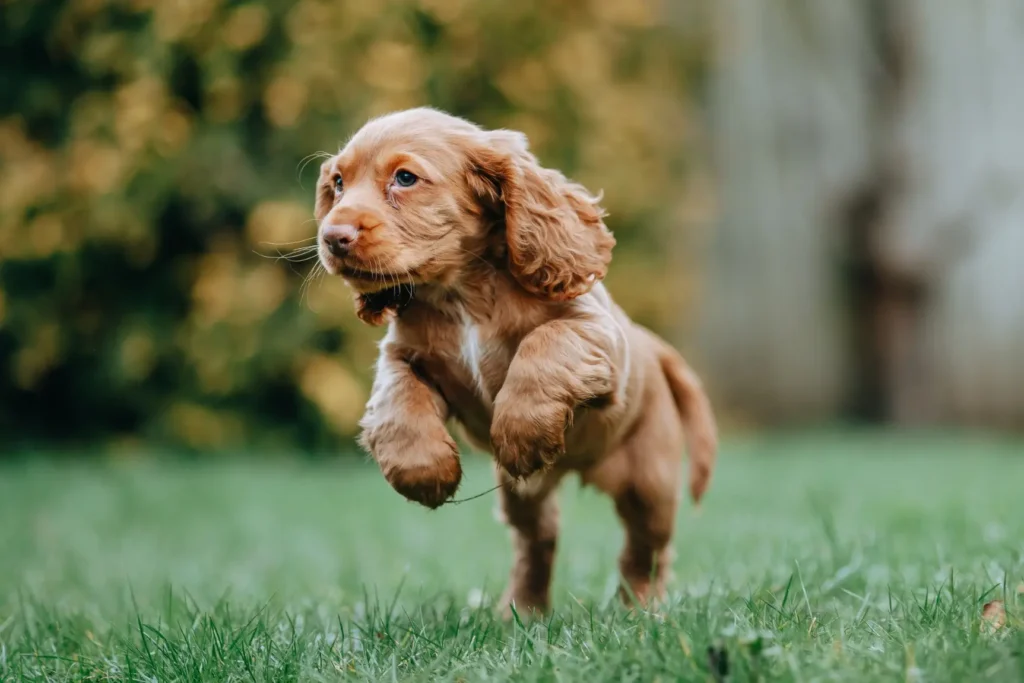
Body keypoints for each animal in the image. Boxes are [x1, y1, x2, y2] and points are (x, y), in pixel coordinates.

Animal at [313, 109, 720, 610]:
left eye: (405, 178)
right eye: (338, 183)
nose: (333, 237)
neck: (460, 294)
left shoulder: (595, 333)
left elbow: (542, 343)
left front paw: (521, 432)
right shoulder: (401, 355)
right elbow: (398, 403)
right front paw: (426, 473)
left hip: (650, 484)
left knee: (647, 550)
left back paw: (643, 608)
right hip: (522, 495)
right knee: (538, 541)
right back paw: (522, 611)